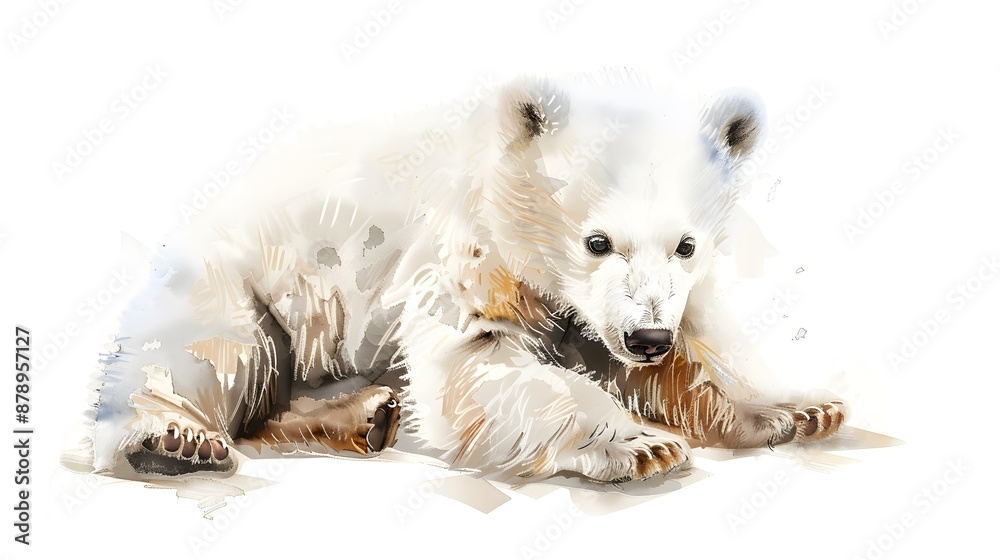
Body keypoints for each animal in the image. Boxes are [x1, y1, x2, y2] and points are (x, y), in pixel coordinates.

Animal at [71, 73, 844, 486]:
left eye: (686, 244)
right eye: (596, 241)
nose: (646, 336)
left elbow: (701, 355)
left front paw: (798, 409)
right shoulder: (465, 248)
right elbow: (477, 363)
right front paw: (639, 443)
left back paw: (363, 415)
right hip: (238, 276)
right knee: (211, 348)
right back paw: (173, 439)